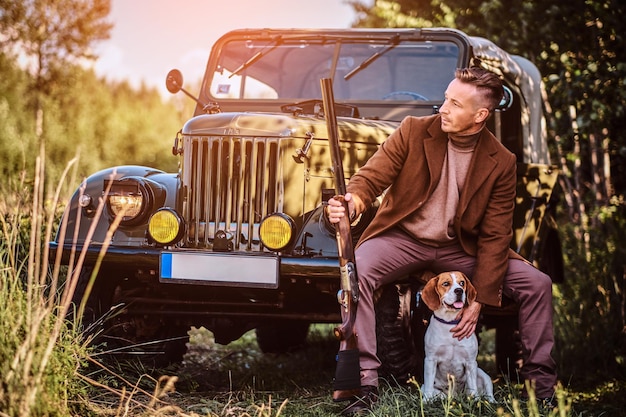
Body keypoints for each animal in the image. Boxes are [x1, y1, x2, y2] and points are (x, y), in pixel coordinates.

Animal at [420, 270, 492, 400]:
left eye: (462, 283)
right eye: (446, 283)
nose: (459, 290)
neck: (449, 323)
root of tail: (455, 396)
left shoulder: (470, 362)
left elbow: (473, 387)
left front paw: (476, 401)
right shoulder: (430, 360)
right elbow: (428, 386)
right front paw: (426, 401)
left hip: (483, 375)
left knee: (488, 393)